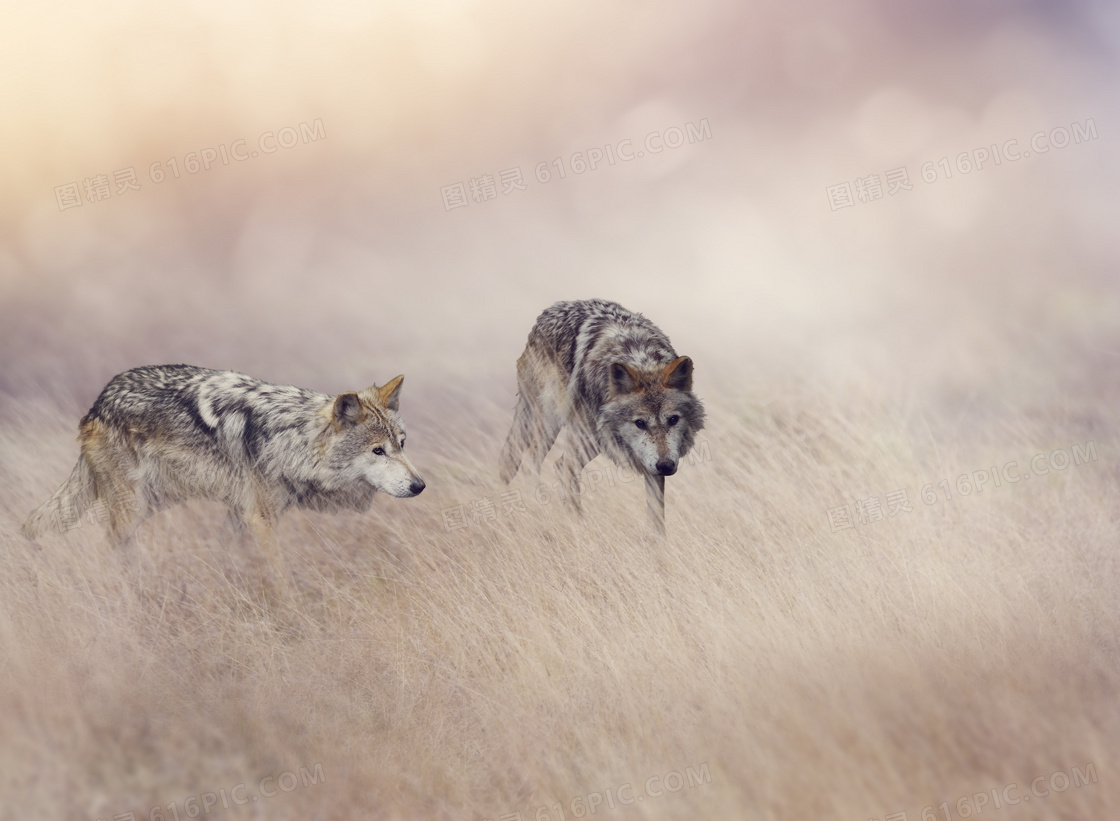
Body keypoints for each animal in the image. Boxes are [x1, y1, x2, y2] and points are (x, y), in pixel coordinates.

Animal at [21, 362, 423, 544]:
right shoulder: (260, 520)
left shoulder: (240, 517)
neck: (291, 440)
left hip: (155, 501)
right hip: (132, 509)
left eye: (401, 445)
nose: (419, 486)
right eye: (377, 451)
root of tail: (98, 403)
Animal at [501, 300, 703, 530]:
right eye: (640, 423)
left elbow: (656, 516)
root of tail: (546, 313)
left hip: (590, 443)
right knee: (531, 462)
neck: (638, 357)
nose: (666, 466)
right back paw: (537, 512)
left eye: (673, 420)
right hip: (556, 425)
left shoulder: (652, 465)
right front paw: (577, 527)